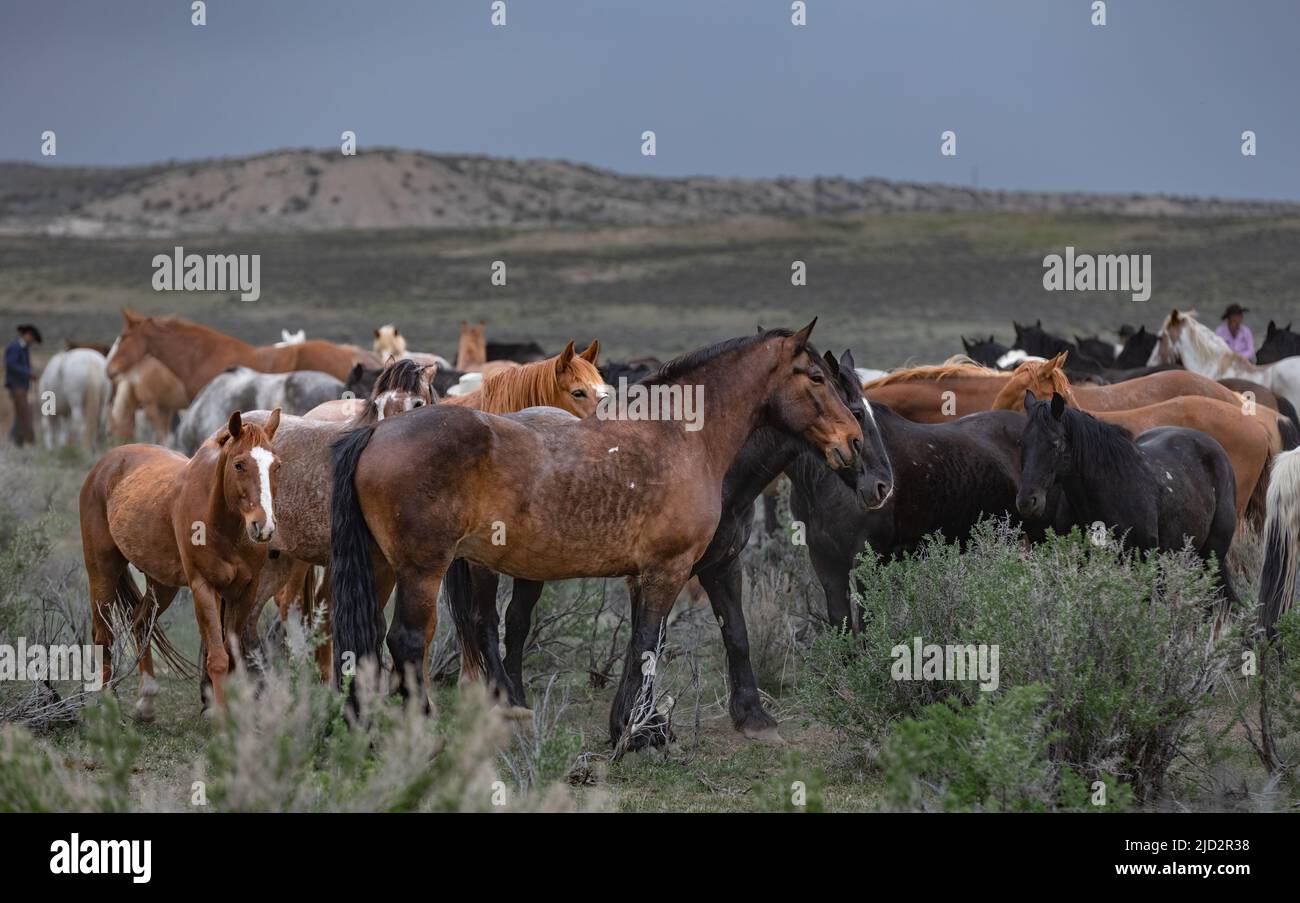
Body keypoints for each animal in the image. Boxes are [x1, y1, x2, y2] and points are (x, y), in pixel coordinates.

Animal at [80, 409, 282, 719]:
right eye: (239, 465)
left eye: (276, 466)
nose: (264, 526)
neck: (221, 522)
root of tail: (104, 464)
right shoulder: (204, 587)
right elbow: (218, 657)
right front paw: (220, 717)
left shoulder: (246, 590)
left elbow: (232, 654)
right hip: (101, 571)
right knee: (104, 634)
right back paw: (107, 704)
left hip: (161, 584)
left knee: (140, 621)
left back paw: (146, 701)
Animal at [329, 323, 866, 747]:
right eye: (817, 378)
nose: (854, 442)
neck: (676, 434)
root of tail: (378, 432)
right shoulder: (669, 568)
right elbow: (648, 643)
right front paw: (636, 732)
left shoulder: (653, 573)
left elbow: (645, 643)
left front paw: (641, 726)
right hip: (423, 571)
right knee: (408, 641)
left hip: (388, 568)